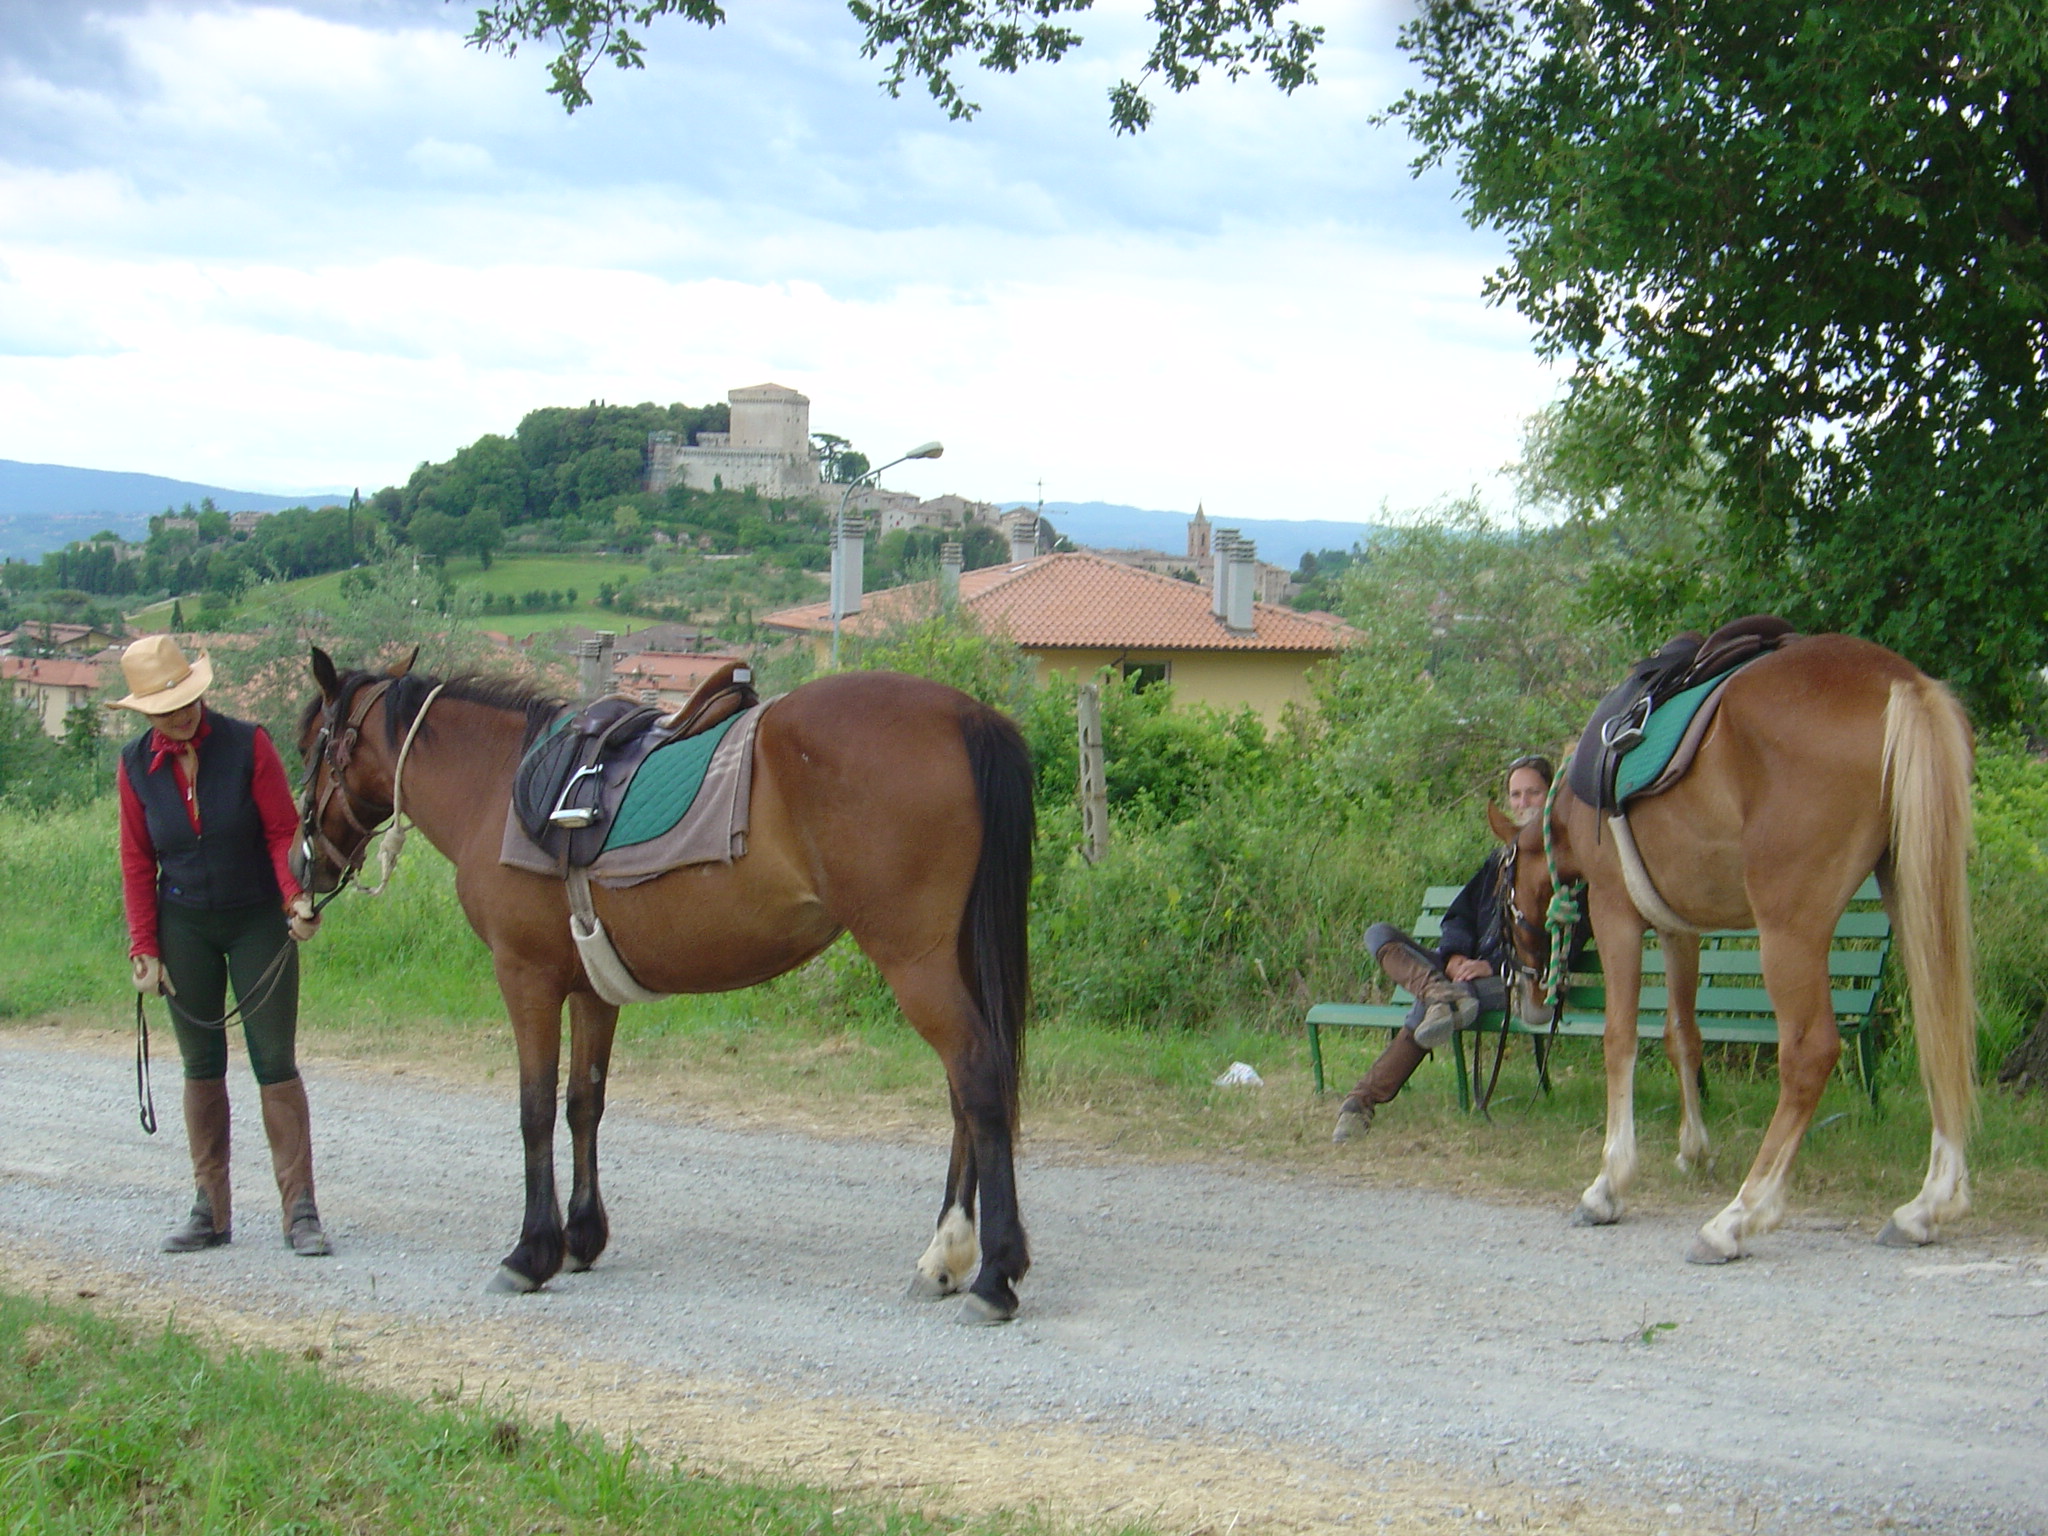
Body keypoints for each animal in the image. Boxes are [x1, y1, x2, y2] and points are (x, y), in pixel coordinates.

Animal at [293, 647, 1036, 1323]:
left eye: (309, 746)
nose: (304, 867)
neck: (497, 783)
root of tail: (966, 715)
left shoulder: (525, 975)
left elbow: (534, 1110)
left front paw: (531, 1252)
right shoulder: (590, 988)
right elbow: (582, 1103)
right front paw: (581, 1237)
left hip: (916, 962)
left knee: (977, 1078)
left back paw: (993, 1273)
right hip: (952, 960)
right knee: (964, 1094)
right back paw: (946, 1256)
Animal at [1492, 634, 1976, 1263]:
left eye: (1501, 895)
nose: (1525, 999)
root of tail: (1901, 681)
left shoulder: (1618, 914)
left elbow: (1620, 1039)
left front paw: (1610, 1183)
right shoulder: (1678, 929)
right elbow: (1682, 1036)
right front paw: (1694, 1149)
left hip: (1789, 929)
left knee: (1810, 1054)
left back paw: (1741, 1215)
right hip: (1911, 887)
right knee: (1941, 1030)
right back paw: (1930, 1204)